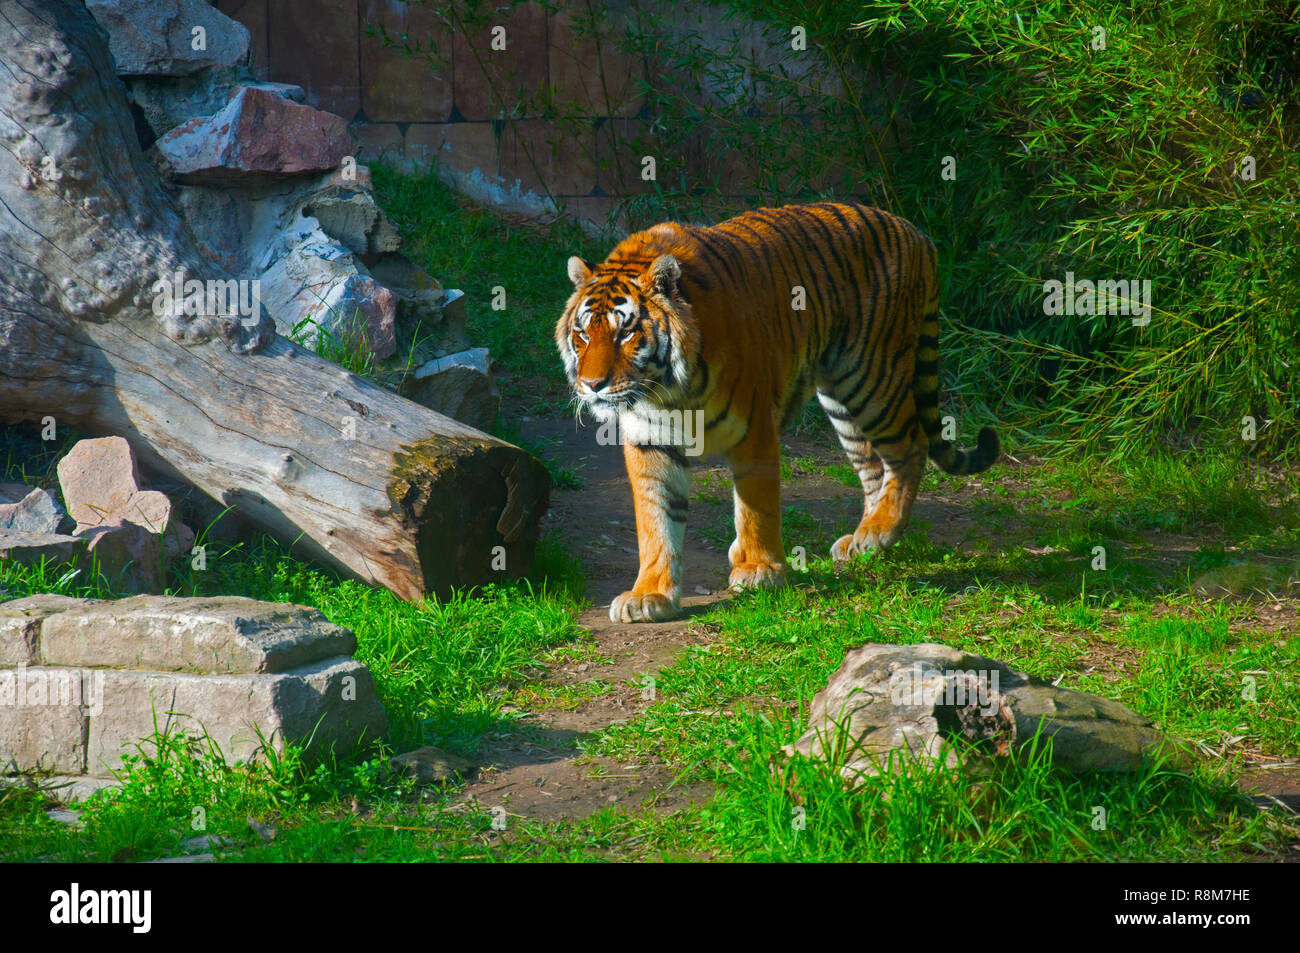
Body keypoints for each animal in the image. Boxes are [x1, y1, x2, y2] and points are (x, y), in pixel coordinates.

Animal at [553, 198, 998, 624]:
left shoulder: (755, 430)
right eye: (583, 333)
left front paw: (758, 571)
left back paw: (880, 530)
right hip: (842, 402)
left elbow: (756, 506)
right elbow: (656, 521)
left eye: (626, 332)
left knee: (910, 448)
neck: (668, 390)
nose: (591, 385)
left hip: (871, 376)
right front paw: (650, 595)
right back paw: (865, 540)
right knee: (875, 466)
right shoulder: (650, 441)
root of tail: (916, 232)